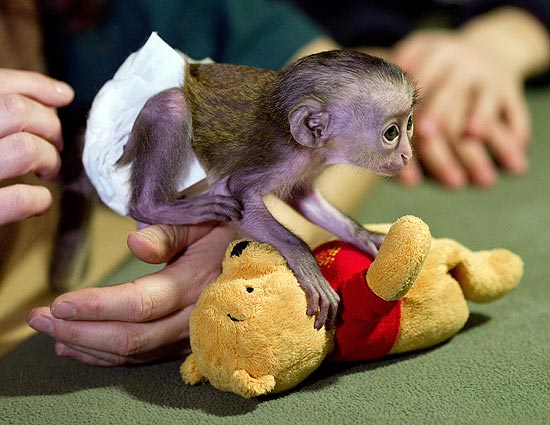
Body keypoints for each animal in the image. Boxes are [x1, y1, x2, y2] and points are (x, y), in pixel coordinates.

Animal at [117, 49, 418, 328]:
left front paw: (367, 238)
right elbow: (236, 192)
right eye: (391, 133)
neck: (311, 148)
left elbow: (304, 198)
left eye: (409, 124)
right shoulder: (284, 160)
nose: (407, 155)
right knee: (173, 105)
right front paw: (305, 263)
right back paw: (153, 206)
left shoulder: (306, 166)